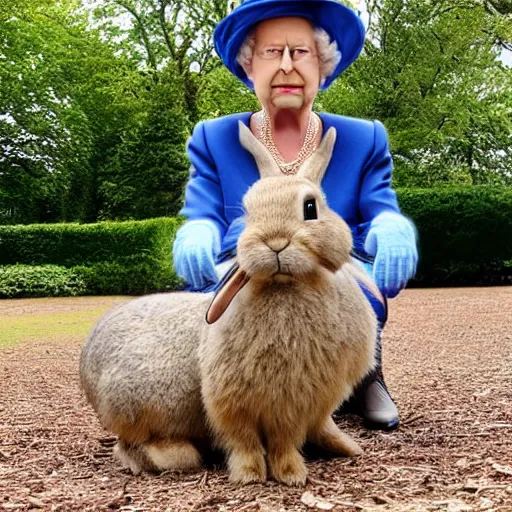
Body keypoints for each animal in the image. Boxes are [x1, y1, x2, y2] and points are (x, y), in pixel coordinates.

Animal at [80, 122, 380, 486]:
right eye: (248, 211)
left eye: (311, 208)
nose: (275, 242)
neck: (285, 285)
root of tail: (87, 366)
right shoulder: (235, 400)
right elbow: (244, 440)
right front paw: (250, 475)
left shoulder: (300, 402)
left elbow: (288, 440)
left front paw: (293, 473)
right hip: (142, 406)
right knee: (130, 446)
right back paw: (175, 454)